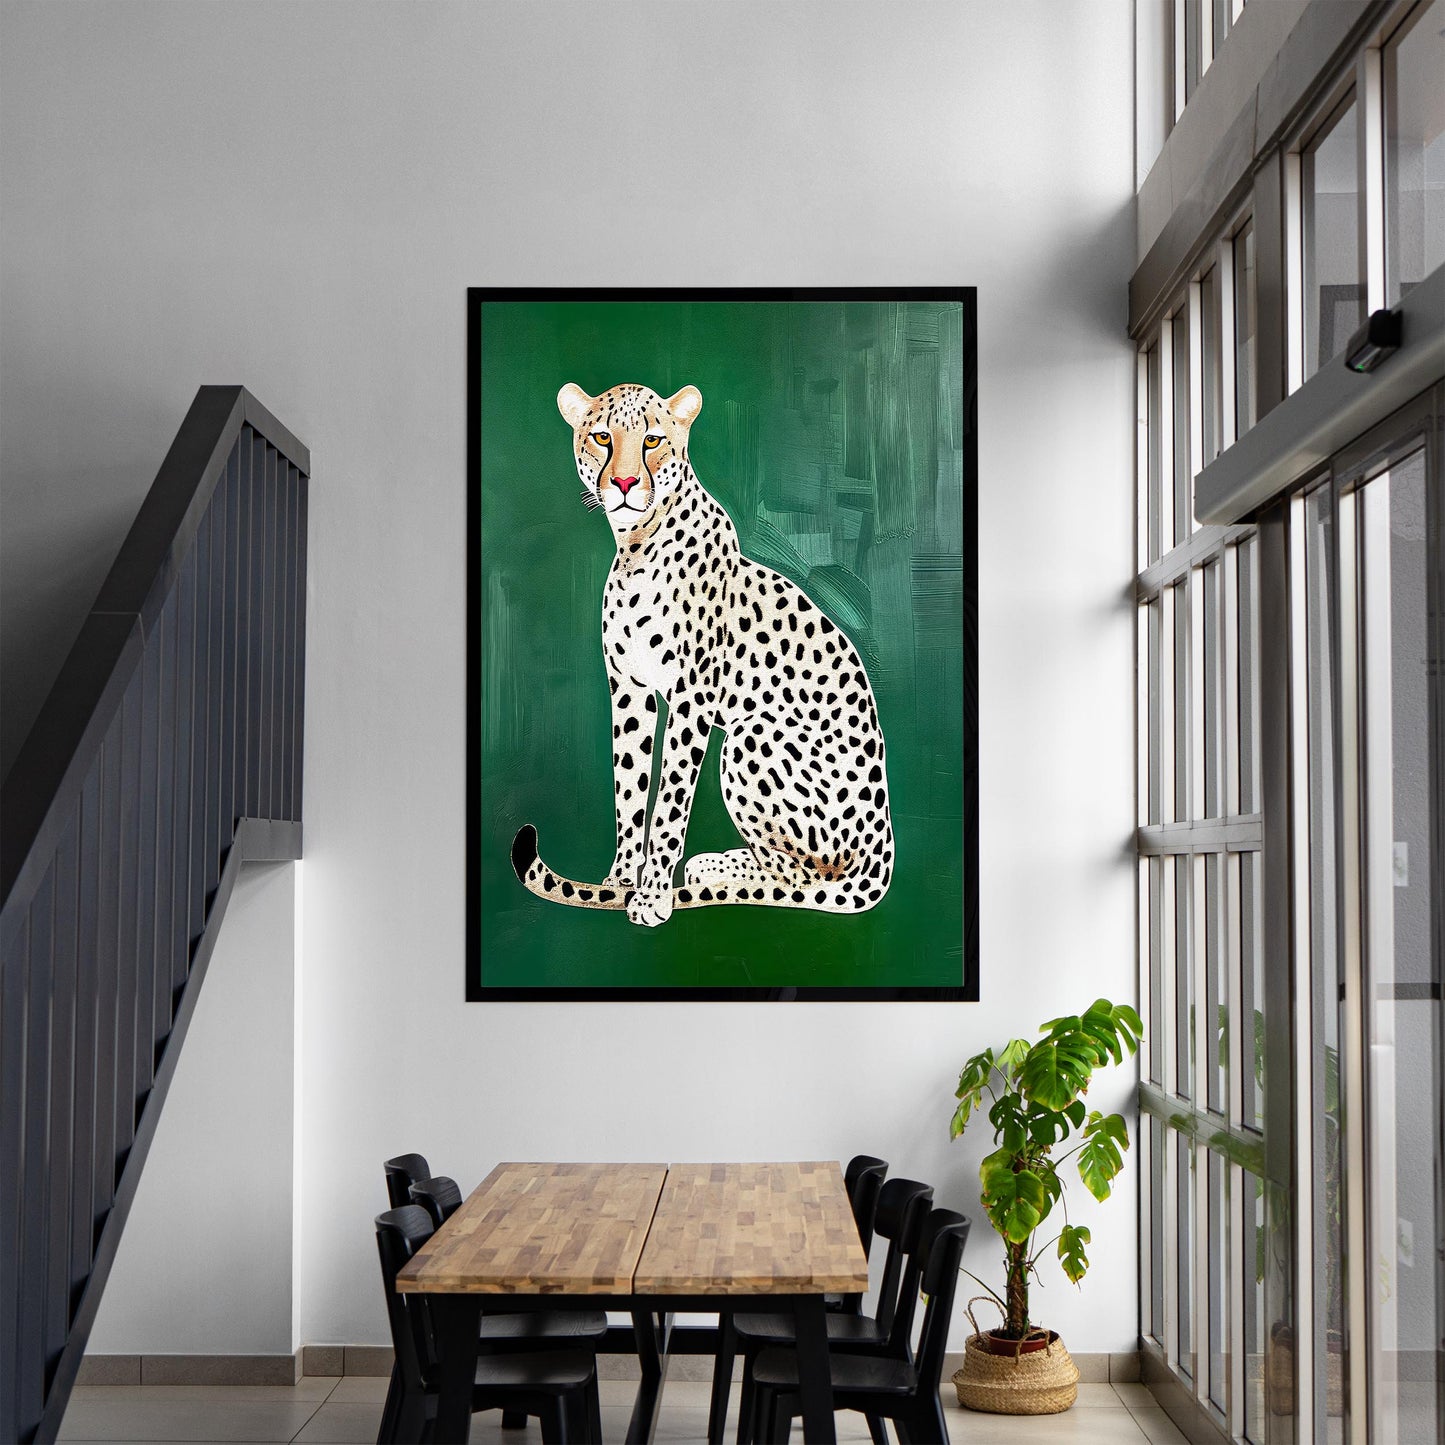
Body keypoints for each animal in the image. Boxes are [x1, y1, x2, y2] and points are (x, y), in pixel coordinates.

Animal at [509, 380, 894, 928]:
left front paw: (651, 897)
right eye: (603, 437)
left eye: (652, 440)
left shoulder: (691, 698)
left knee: (805, 876)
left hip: (753, 735)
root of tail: (883, 854)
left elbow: (669, 802)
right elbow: (630, 789)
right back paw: (713, 866)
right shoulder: (630, 691)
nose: (624, 483)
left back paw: (717, 874)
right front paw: (620, 882)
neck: (635, 545)